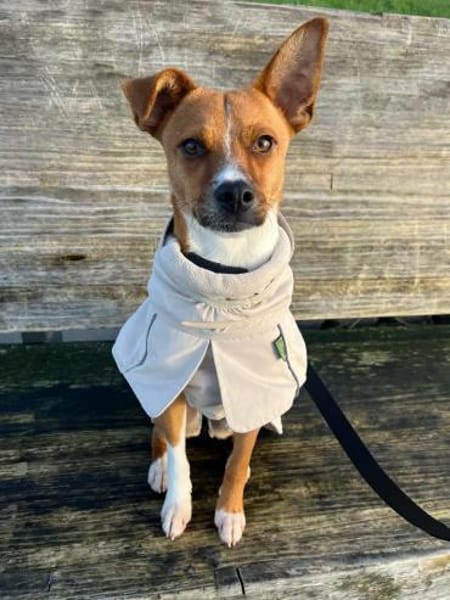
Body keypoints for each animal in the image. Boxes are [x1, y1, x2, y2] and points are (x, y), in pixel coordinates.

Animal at [113, 17, 328, 547]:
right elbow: (180, 458)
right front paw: (178, 503)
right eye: (191, 145)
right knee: (163, 433)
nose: (235, 192)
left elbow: (236, 463)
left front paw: (229, 510)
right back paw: (159, 467)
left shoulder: (250, 389)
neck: (221, 287)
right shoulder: (171, 383)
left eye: (265, 142)